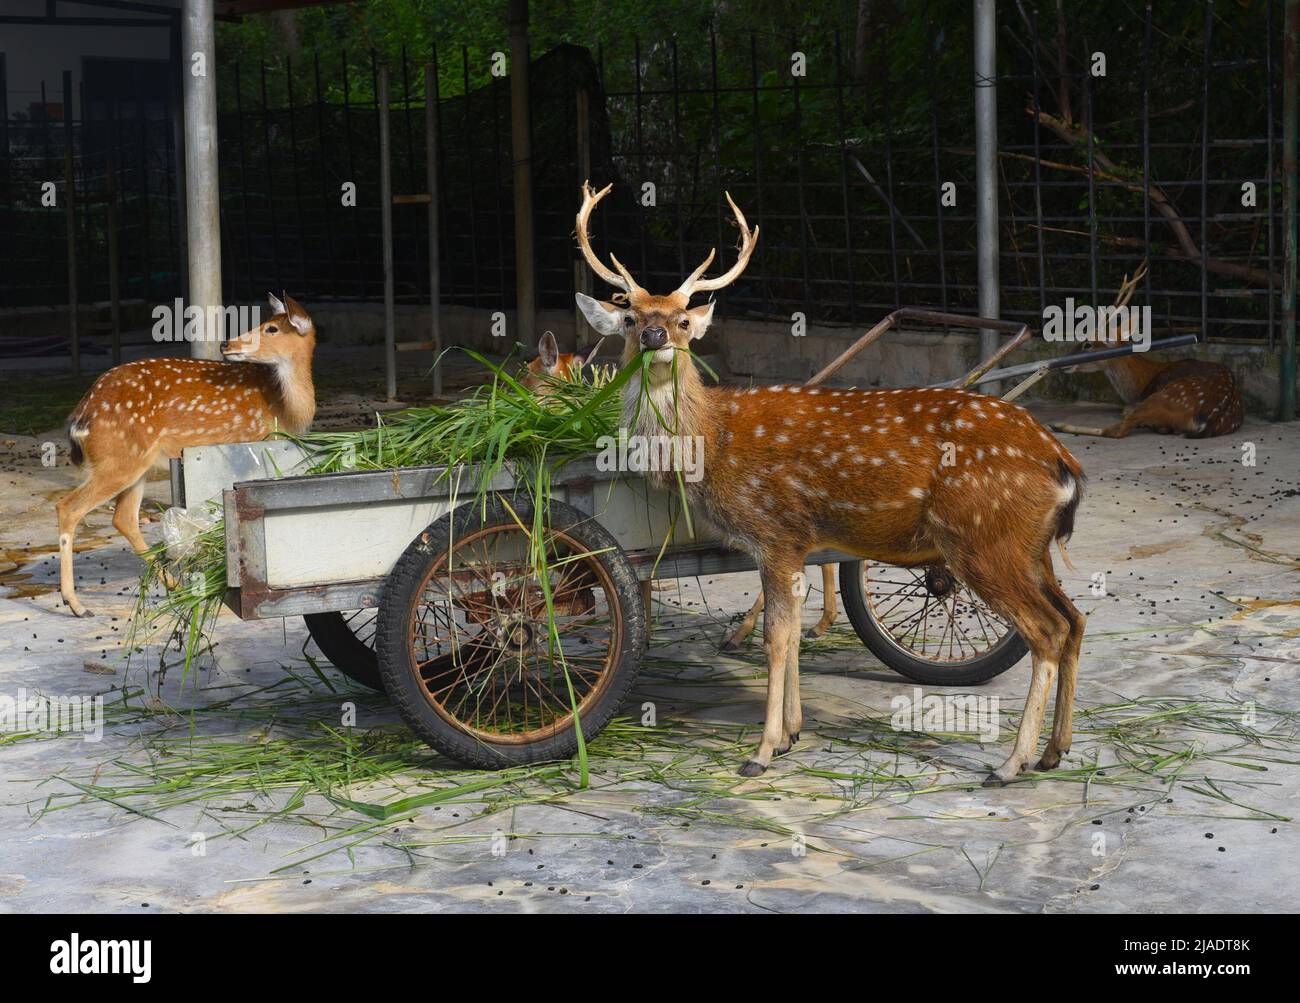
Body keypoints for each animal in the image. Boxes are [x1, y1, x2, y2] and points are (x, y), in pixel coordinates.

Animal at [56, 293, 322, 615]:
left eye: (271, 328)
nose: (226, 344)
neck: (287, 409)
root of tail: (81, 416)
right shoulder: (251, 445)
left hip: (135, 464)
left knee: (123, 518)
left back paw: (174, 585)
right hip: (119, 459)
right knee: (68, 507)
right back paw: (75, 603)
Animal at [569, 184, 1086, 789]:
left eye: (682, 322)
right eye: (629, 317)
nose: (654, 336)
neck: (712, 438)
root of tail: (1061, 460)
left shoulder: (775, 529)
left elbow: (776, 637)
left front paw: (762, 751)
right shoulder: (793, 544)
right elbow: (790, 633)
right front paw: (791, 734)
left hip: (983, 538)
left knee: (1045, 631)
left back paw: (1010, 763)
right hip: (1030, 545)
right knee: (1074, 619)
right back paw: (1054, 751)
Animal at [1045, 265, 1237, 441]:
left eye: (1088, 344)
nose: (1062, 363)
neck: (1139, 385)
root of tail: (1208, 420)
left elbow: (1124, 412)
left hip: (1162, 397)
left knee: (1117, 430)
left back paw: (1057, 425)